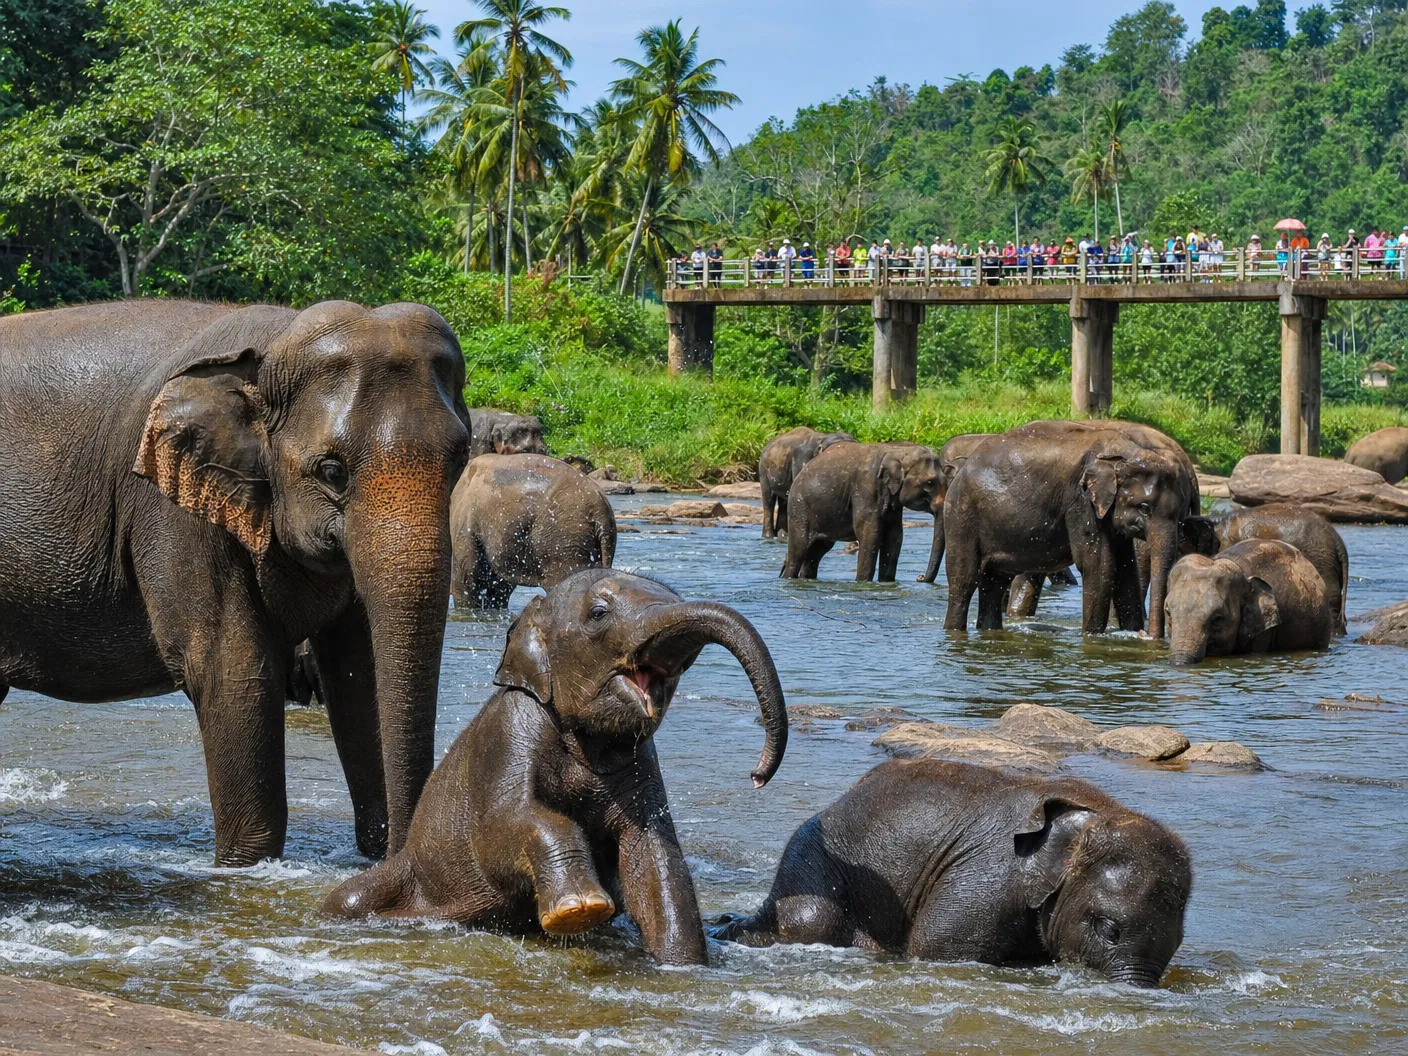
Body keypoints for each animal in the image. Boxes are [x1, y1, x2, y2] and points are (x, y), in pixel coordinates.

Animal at [0, 299, 471, 866]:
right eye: (332, 471)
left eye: (461, 458)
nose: (402, 853)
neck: (272, 343)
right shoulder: (174, 512)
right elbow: (233, 670)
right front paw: (244, 866)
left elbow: (359, 672)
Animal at [323, 568, 788, 966]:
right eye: (599, 614)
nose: (756, 776)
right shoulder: (508, 735)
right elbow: (503, 825)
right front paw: (579, 910)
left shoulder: (641, 764)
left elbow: (653, 852)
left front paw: (683, 964)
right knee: (347, 900)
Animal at [712, 759, 1191, 988]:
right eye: (1109, 929)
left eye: (1178, 944)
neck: (1102, 815)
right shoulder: (988, 874)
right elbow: (937, 947)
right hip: (812, 856)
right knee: (812, 920)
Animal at [781, 442, 943, 581]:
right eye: (929, 483)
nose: (920, 577)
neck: (896, 450)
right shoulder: (865, 487)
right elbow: (870, 534)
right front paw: (863, 583)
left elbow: (894, 536)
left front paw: (886, 583)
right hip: (799, 507)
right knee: (798, 550)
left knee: (816, 552)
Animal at [943, 421, 1190, 634]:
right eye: (1144, 508)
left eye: (1180, 513)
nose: (1149, 636)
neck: (1124, 453)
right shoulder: (1080, 503)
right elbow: (1099, 565)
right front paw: (1091, 637)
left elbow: (1126, 569)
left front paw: (1129, 633)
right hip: (961, 517)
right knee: (963, 582)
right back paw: (954, 629)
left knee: (994, 584)